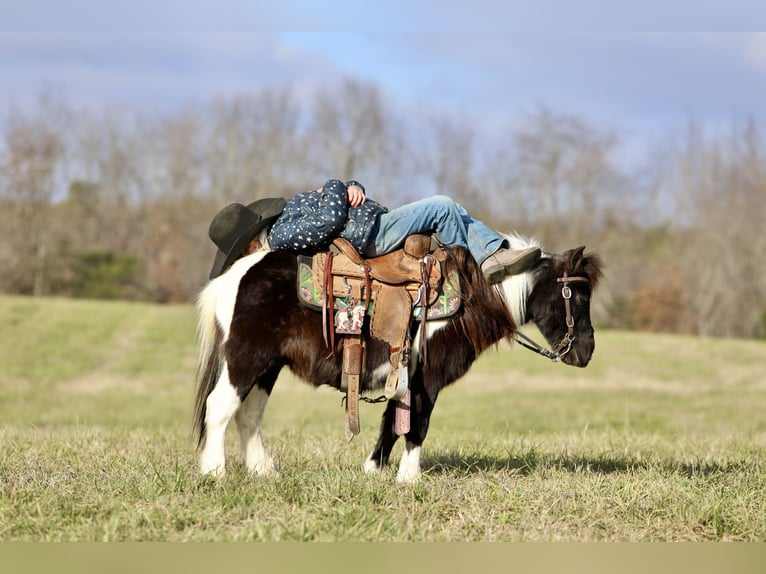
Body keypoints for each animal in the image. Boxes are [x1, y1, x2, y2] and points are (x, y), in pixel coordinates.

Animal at [192, 236, 604, 483]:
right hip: (245, 359)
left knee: (248, 415)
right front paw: (409, 477)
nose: (586, 353)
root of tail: (235, 276)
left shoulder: (405, 377)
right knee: (221, 407)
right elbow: (416, 425)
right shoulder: (426, 380)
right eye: (578, 297)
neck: (472, 296)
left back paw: (263, 471)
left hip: (267, 367)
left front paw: (374, 470)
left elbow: (392, 423)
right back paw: (214, 471)